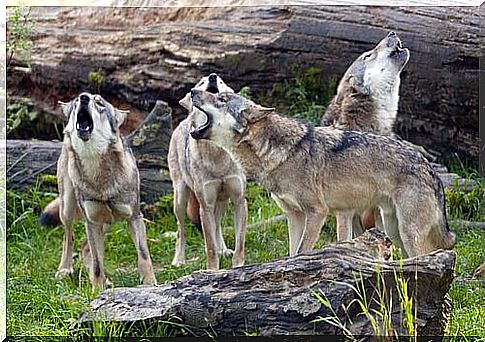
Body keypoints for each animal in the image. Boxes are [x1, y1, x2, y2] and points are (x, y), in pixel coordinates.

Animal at [168, 74, 248, 270]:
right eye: (201, 83)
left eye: (221, 82)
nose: (213, 77)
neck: (217, 153)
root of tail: (182, 122)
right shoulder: (205, 207)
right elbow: (209, 247)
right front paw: (212, 271)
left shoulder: (239, 201)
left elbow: (239, 244)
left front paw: (238, 267)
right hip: (180, 199)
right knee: (181, 230)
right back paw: (178, 260)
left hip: (223, 201)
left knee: (217, 224)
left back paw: (224, 250)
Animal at [188, 89, 454, 258]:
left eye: (221, 98)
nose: (191, 91)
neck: (278, 153)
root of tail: (429, 168)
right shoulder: (294, 216)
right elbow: (292, 253)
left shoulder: (317, 212)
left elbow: (302, 251)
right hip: (393, 230)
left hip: (407, 232)